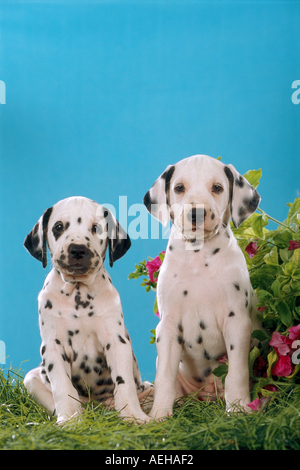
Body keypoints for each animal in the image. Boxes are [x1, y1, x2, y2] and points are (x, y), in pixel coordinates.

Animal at [24, 196, 154, 424]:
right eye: (58, 227)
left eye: (96, 228)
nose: (77, 250)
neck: (78, 295)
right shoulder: (53, 348)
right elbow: (63, 388)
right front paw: (70, 420)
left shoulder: (117, 342)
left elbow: (124, 384)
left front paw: (133, 416)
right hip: (31, 378)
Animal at [144, 154, 266, 418]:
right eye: (179, 188)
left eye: (217, 188)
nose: (197, 213)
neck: (198, 257)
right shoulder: (168, 328)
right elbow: (164, 378)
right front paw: (159, 415)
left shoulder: (237, 323)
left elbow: (236, 374)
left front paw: (238, 409)